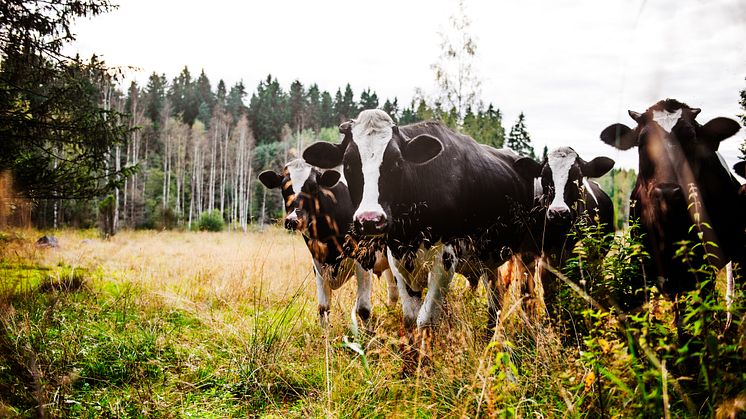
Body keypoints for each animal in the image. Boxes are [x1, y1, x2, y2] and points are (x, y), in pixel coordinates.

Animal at [258, 159, 396, 330]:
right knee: (393, 291)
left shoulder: (365, 257)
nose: (293, 220)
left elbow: (363, 309)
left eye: (313, 187)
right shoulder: (318, 263)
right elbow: (323, 308)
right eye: (284, 187)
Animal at [302, 110, 536, 334]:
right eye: (349, 164)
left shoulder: (445, 260)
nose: (370, 220)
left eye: (396, 162)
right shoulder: (397, 258)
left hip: (527, 253)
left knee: (526, 294)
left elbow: (425, 321)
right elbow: (410, 318)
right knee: (496, 297)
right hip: (487, 258)